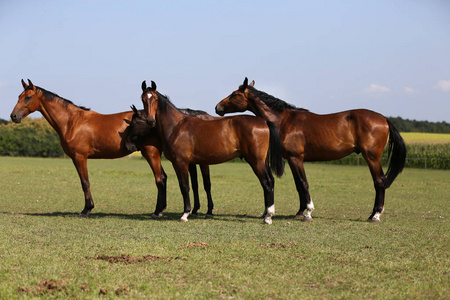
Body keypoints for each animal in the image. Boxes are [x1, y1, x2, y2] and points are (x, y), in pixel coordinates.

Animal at [141, 81, 284, 224]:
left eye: (156, 99)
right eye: (143, 99)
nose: (150, 121)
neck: (177, 126)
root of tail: (264, 121)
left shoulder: (181, 163)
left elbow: (185, 186)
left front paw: (185, 214)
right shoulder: (183, 164)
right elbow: (188, 185)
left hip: (256, 161)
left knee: (267, 182)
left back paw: (268, 217)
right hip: (262, 161)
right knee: (270, 181)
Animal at [215, 77, 408, 223]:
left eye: (235, 94)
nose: (217, 107)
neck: (284, 120)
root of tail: (383, 119)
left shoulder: (296, 158)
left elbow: (303, 183)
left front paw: (308, 212)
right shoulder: (291, 159)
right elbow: (298, 185)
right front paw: (299, 212)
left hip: (372, 158)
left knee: (379, 182)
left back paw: (375, 215)